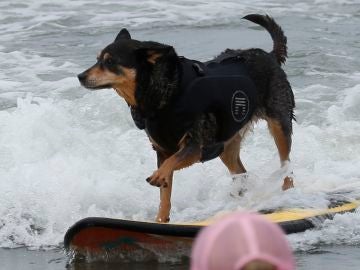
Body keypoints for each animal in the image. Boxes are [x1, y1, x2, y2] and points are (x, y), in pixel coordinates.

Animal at [78, 13, 296, 223]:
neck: (164, 95)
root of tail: (270, 56)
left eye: (109, 61)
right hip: (227, 143)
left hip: (279, 121)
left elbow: (171, 162)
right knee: (241, 171)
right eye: (97, 59)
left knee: (286, 163)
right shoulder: (162, 149)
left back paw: (287, 194)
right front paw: (161, 219)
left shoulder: (196, 145)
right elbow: (165, 192)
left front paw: (158, 176)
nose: (80, 76)